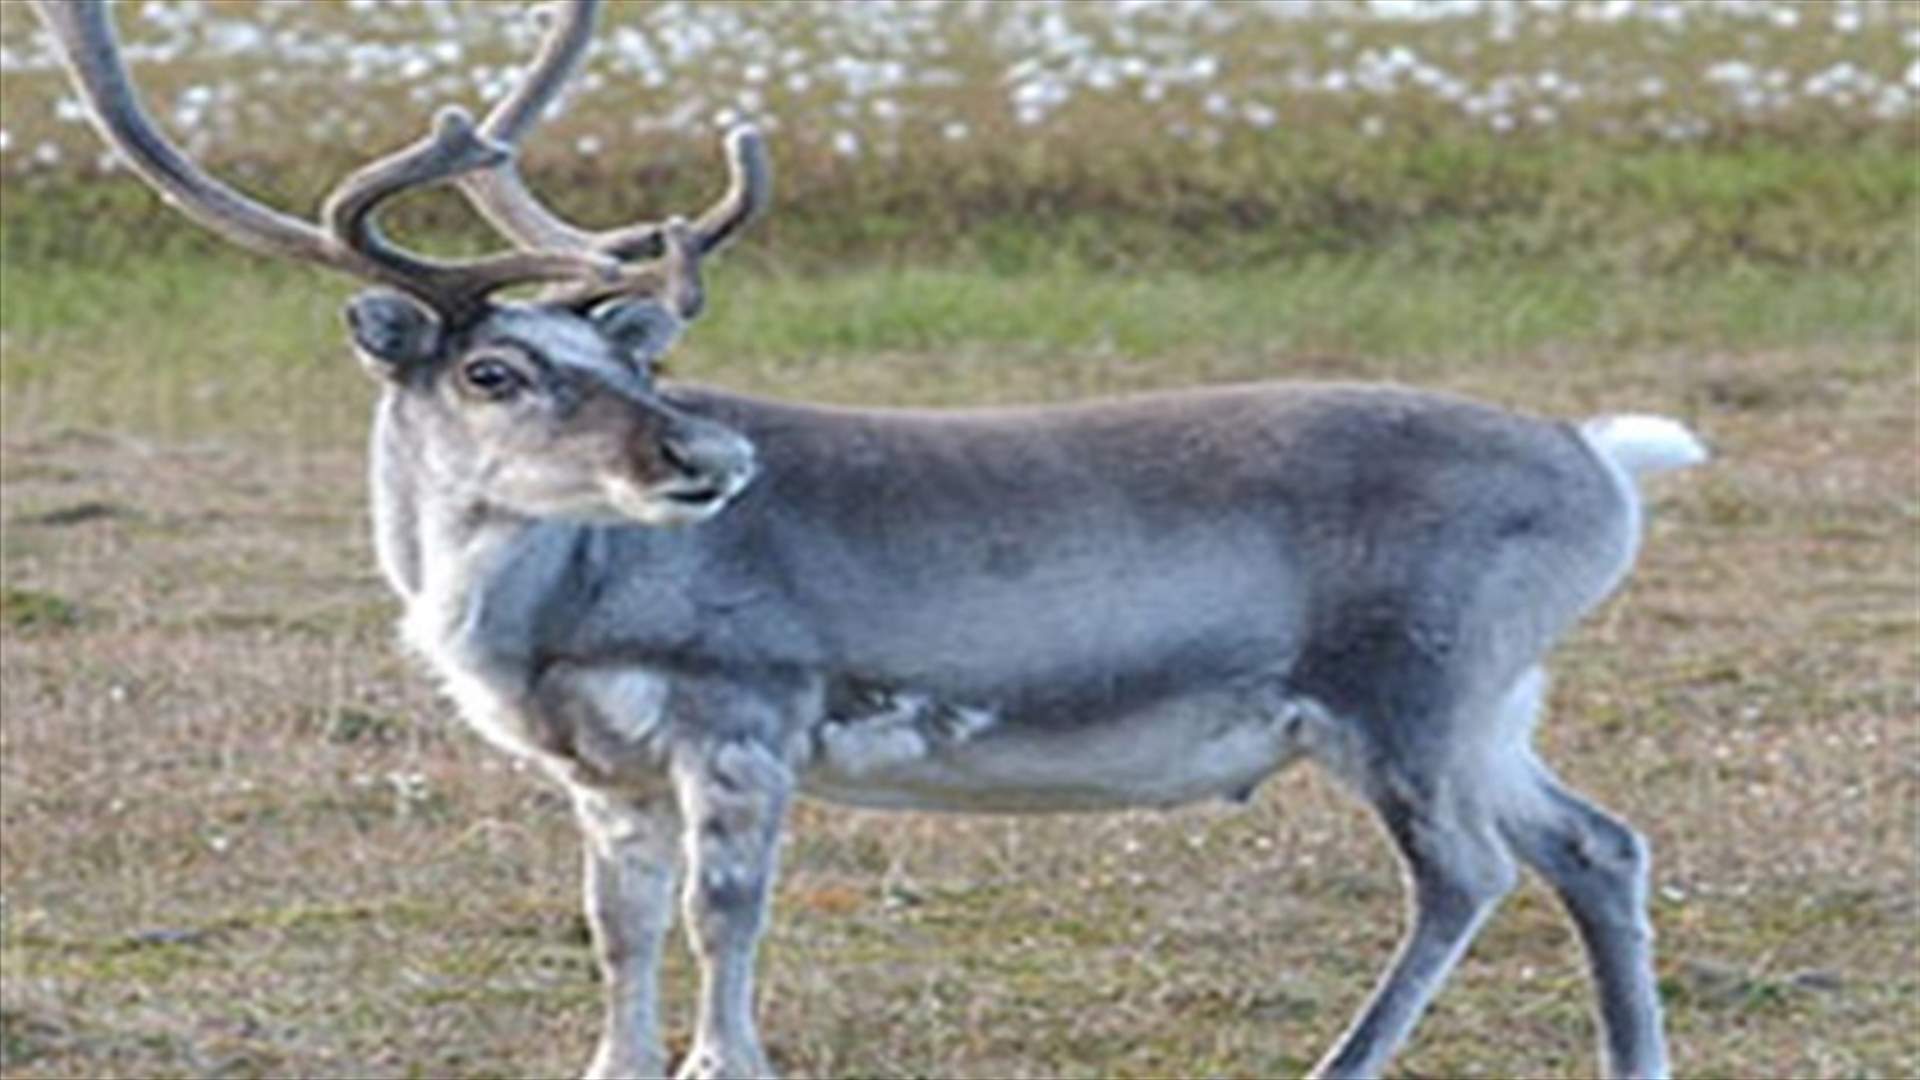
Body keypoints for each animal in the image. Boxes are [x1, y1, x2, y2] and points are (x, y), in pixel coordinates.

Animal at [36, 1, 1700, 1077]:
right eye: (494, 370)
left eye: (633, 361)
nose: (710, 455)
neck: (528, 614)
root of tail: (1606, 465)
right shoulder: (605, 779)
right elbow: (619, 942)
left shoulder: (746, 717)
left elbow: (724, 929)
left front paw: (729, 1060)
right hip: (1490, 705)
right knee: (1597, 843)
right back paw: (1634, 1061)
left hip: (1410, 691)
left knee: (1467, 873)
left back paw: (1342, 1064)